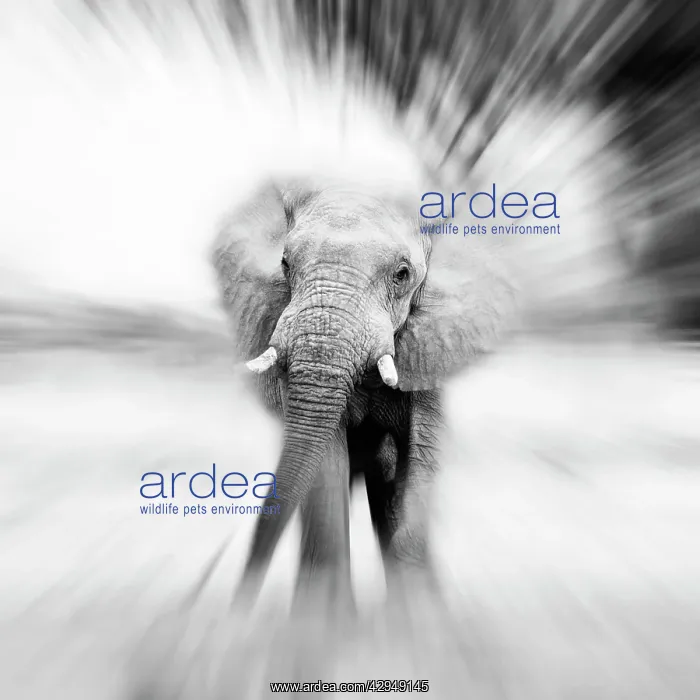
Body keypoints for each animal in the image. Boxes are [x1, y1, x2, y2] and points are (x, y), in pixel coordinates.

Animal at [212, 179, 515, 612]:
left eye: (402, 274)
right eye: (285, 264)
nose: (238, 601)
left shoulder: (432, 345)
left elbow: (423, 450)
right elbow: (325, 462)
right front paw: (325, 620)